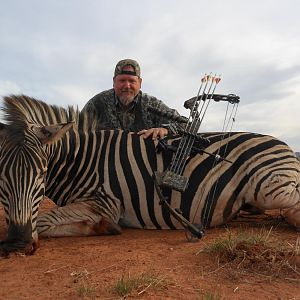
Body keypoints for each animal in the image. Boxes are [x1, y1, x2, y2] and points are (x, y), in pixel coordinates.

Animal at [0, 94, 298, 255]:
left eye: (41, 172)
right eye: (0, 176)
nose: (16, 243)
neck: (81, 159)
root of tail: (285, 144)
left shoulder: (106, 202)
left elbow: (44, 219)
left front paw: (104, 227)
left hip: (272, 190)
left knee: (292, 206)